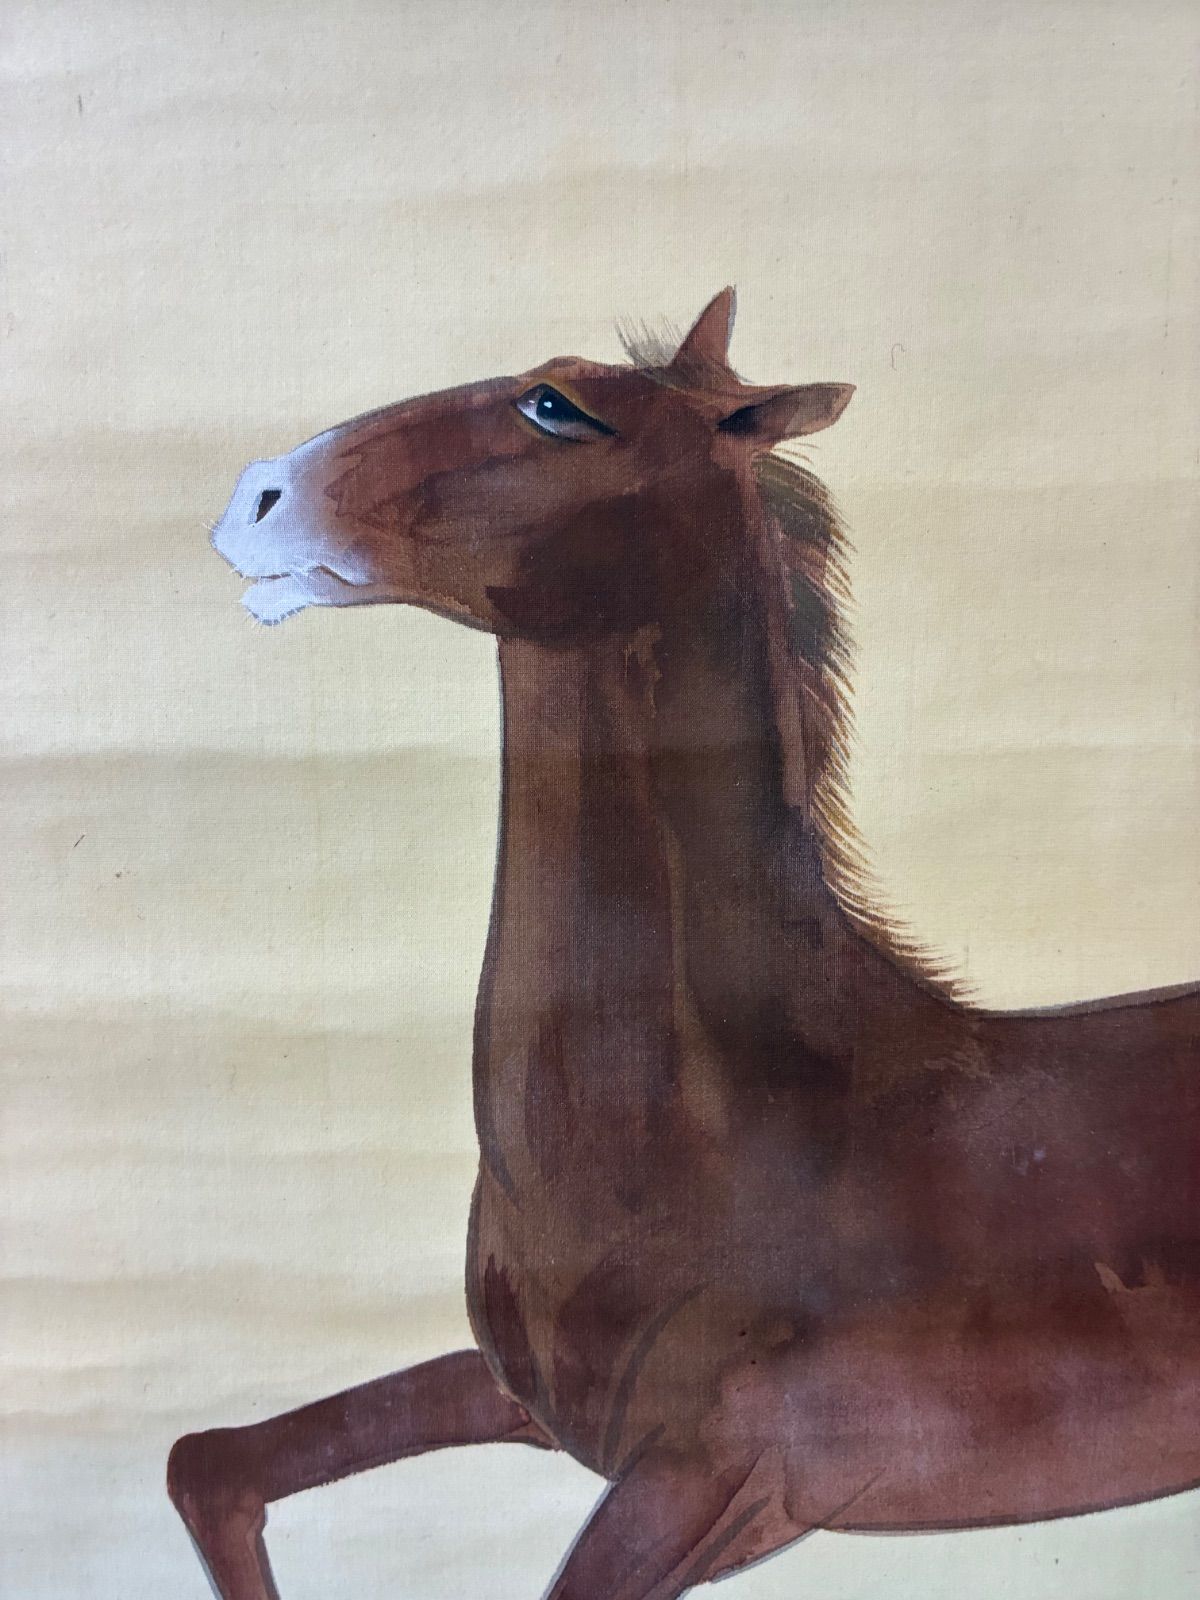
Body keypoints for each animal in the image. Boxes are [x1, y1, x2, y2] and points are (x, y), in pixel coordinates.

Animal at [169, 290, 1200, 1598]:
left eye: (556, 406)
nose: (256, 495)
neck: (739, 1132)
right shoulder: (532, 1403)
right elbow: (212, 1463)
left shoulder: (716, 1480)